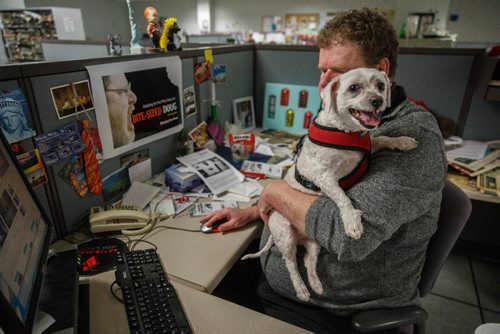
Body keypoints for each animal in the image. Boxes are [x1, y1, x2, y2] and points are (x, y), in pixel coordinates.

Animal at [242, 68, 418, 302]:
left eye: (381, 86)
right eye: (354, 88)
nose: (378, 101)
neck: (346, 132)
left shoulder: (367, 149)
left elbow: (383, 139)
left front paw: (403, 141)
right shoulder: (323, 175)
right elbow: (342, 196)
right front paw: (352, 221)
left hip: (314, 241)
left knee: (308, 260)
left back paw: (315, 283)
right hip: (285, 234)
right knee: (291, 264)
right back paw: (301, 288)